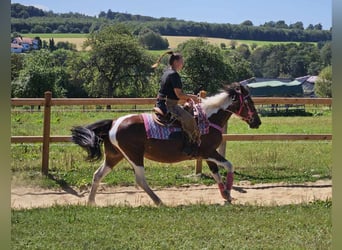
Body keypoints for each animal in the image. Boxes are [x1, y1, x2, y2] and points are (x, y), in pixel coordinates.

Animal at [71, 83, 260, 206]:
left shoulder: (207, 154)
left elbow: (216, 173)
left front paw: (226, 195)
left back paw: (91, 202)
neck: (208, 119)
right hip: (134, 156)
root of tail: (113, 123)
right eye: (249, 102)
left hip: (114, 156)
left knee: (97, 175)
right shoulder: (208, 152)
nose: (257, 122)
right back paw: (159, 201)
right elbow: (229, 166)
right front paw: (228, 192)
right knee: (140, 179)